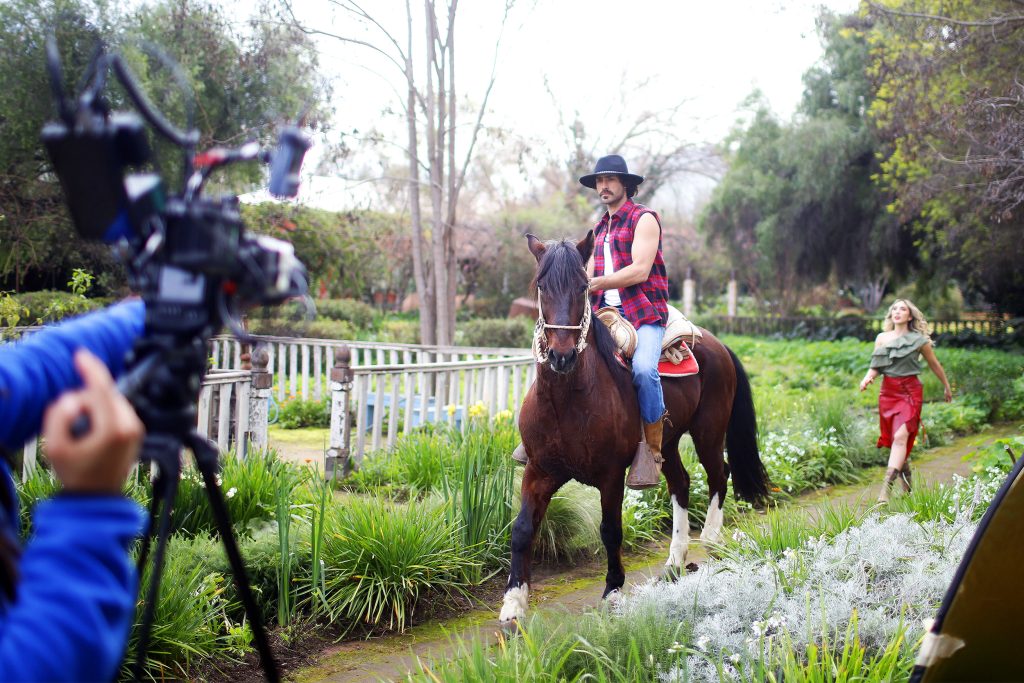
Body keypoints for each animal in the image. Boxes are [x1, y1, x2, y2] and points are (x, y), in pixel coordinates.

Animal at [498, 231, 770, 626]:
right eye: (541, 286)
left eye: (583, 286)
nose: (561, 356)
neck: (567, 400)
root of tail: (717, 343)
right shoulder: (539, 470)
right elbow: (521, 529)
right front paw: (513, 602)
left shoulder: (610, 475)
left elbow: (610, 531)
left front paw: (613, 591)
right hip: (666, 445)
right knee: (681, 484)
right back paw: (674, 562)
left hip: (708, 432)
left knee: (720, 475)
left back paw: (710, 541)